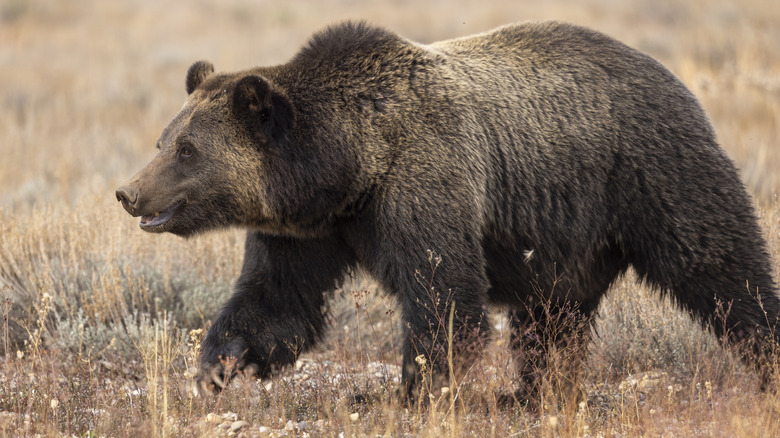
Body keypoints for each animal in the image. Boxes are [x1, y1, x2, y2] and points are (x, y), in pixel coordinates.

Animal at [116, 21, 779, 403]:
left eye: (186, 149)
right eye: (164, 140)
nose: (129, 193)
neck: (349, 166)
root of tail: (674, 77)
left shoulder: (424, 183)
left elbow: (445, 298)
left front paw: (408, 392)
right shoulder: (311, 229)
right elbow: (277, 298)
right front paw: (216, 366)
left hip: (651, 173)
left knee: (723, 269)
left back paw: (764, 356)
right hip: (569, 239)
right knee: (551, 322)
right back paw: (531, 394)